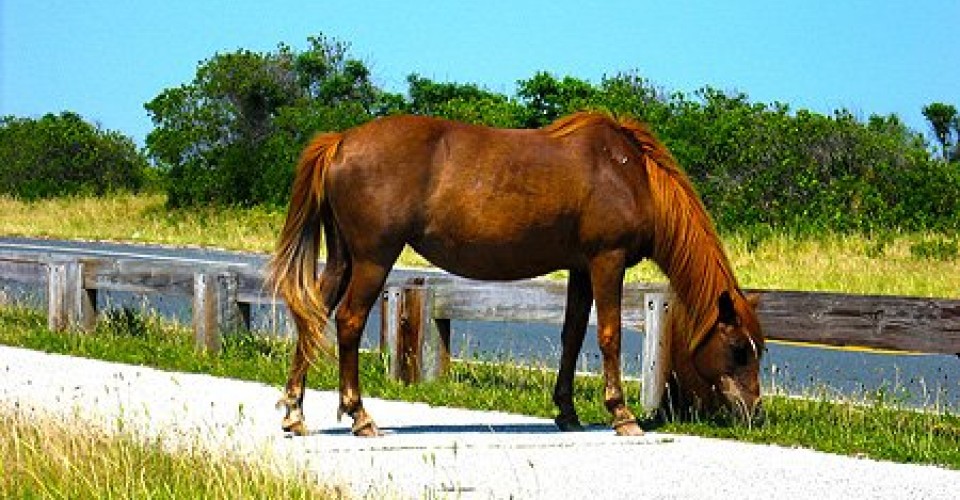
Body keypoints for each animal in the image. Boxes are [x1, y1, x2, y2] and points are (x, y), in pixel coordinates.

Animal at [269, 111, 764, 437]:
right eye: (739, 350)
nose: (756, 414)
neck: (630, 174)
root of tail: (341, 141)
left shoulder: (581, 268)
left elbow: (572, 336)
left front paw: (567, 412)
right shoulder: (607, 261)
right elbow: (609, 335)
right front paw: (620, 414)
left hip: (344, 259)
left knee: (314, 316)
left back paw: (295, 412)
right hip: (374, 259)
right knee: (348, 321)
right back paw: (360, 416)